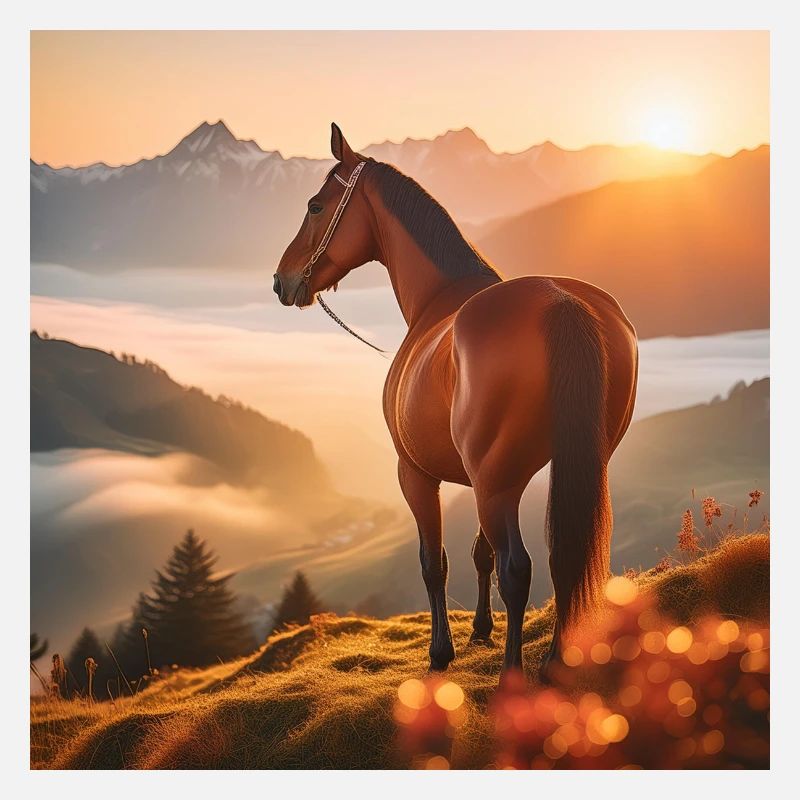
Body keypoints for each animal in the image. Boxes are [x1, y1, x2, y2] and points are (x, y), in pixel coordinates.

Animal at [274, 123, 638, 682]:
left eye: (316, 206)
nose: (282, 280)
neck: (437, 298)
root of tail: (561, 303)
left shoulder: (417, 474)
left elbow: (435, 562)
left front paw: (441, 652)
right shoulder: (480, 477)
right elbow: (478, 554)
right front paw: (481, 631)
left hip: (496, 484)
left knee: (519, 568)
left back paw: (514, 675)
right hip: (549, 471)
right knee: (563, 557)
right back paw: (556, 662)